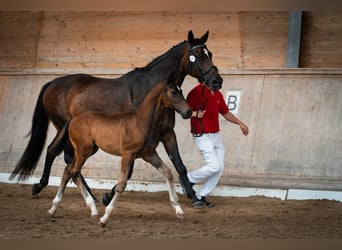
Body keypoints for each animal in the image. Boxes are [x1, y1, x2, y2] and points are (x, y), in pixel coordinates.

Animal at [10, 30, 223, 204]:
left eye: (210, 54)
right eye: (197, 55)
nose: (216, 81)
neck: (151, 90)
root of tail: (52, 83)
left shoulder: (167, 133)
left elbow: (179, 164)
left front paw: (195, 198)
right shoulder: (134, 138)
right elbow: (128, 171)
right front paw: (108, 196)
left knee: (57, 154)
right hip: (65, 128)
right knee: (66, 158)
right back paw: (79, 194)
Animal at [47, 79, 192, 226]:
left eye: (181, 91)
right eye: (173, 92)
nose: (188, 112)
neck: (140, 123)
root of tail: (72, 119)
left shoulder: (149, 154)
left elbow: (167, 172)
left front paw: (179, 210)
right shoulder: (127, 155)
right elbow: (121, 184)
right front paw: (104, 218)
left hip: (89, 150)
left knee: (68, 169)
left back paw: (54, 209)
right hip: (83, 150)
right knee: (74, 171)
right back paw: (93, 210)